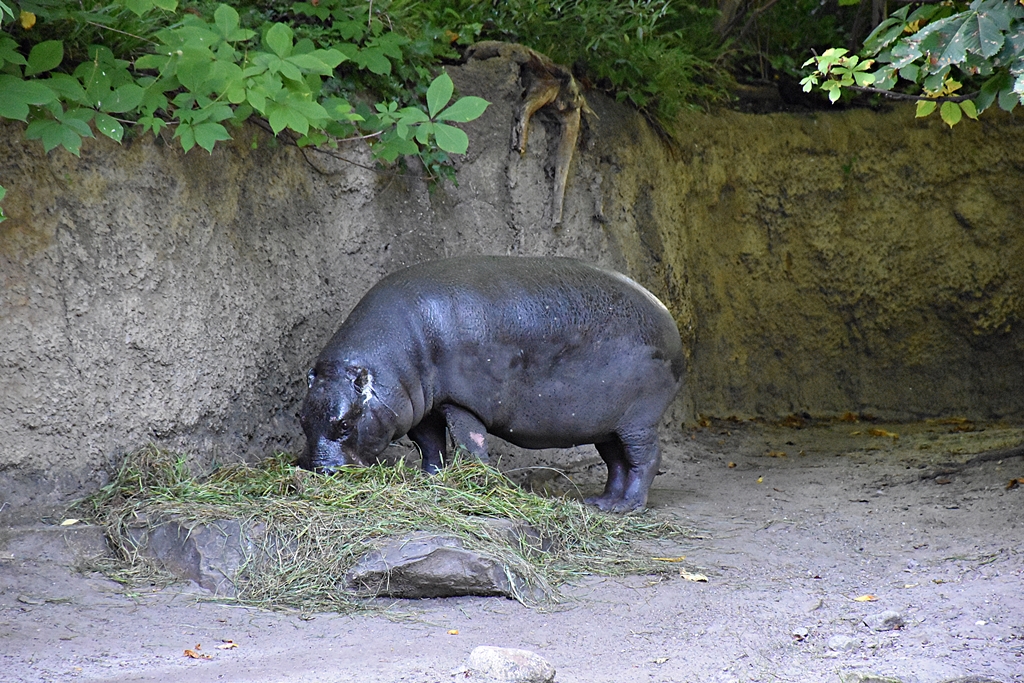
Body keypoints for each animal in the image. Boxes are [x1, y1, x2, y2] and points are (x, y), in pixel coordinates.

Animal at [299, 256, 684, 512]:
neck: (393, 358)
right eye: (302, 419)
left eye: (344, 423)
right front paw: (431, 480)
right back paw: (601, 503)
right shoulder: (422, 405)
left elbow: (471, 442)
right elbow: (430, 445)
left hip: (639, 420)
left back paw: (628, 507)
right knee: (617, 461)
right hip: (607, 423)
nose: (319, 470)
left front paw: (477, 481)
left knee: (645, 458)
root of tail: (667, 317)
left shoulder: (460, 402)